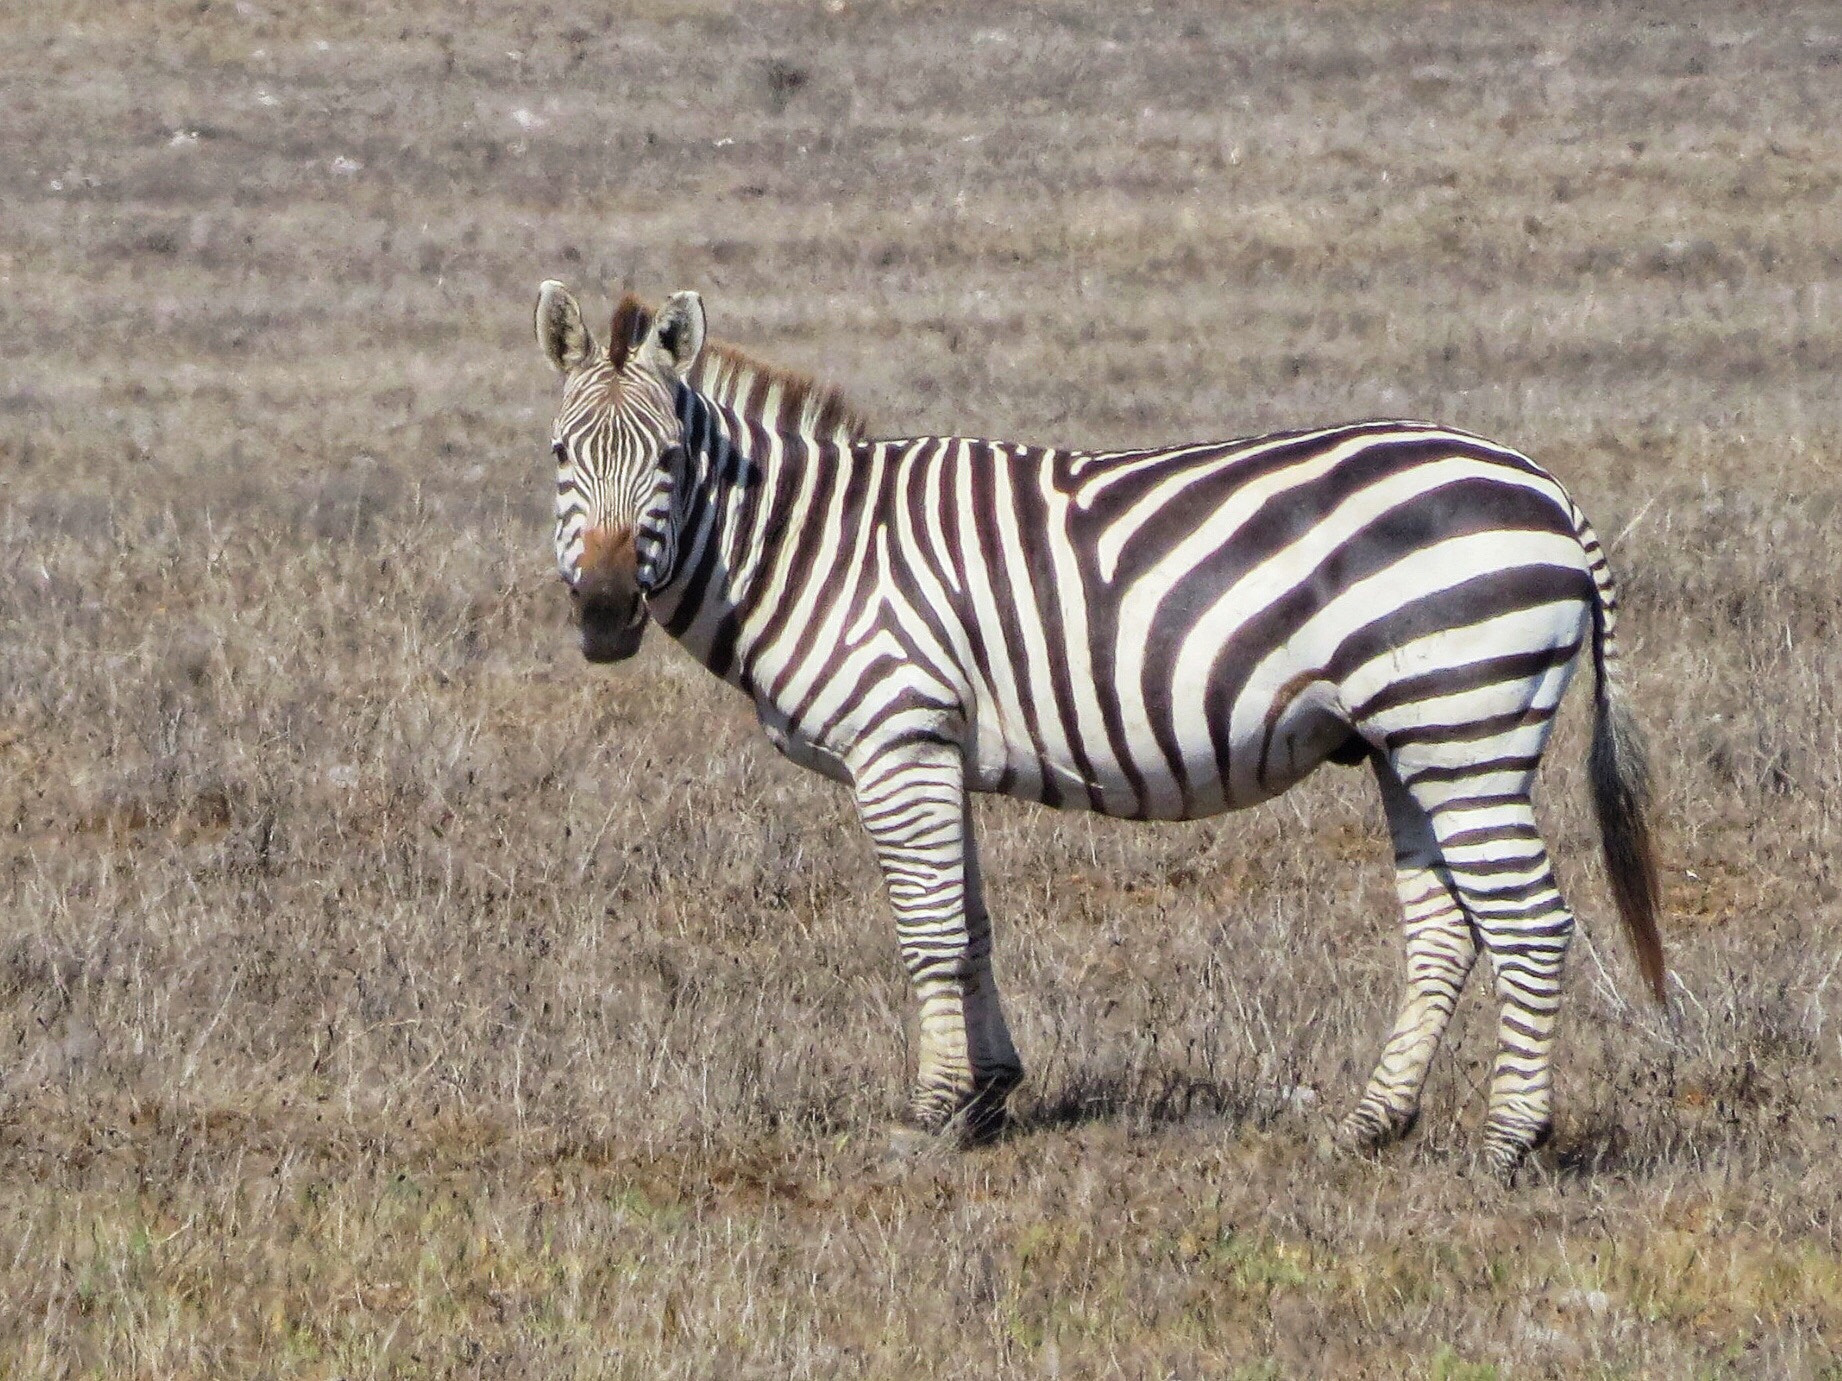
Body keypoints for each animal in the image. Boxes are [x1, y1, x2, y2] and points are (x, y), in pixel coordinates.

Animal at [533, 281, 1665, 1180]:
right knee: (1445, 929)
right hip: (1410, 746)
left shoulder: (897, 738)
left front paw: (930, 1116)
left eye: (670, 457)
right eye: (558, 455)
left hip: (1465, 727)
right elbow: (971, 924)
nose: (603, 612)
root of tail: (1548, 490)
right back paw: (1370, 1125)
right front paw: (988, 1096)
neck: (810, 549)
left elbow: (928, 931)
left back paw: (1508, 1144)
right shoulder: (938, 747)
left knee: (1530, 923)